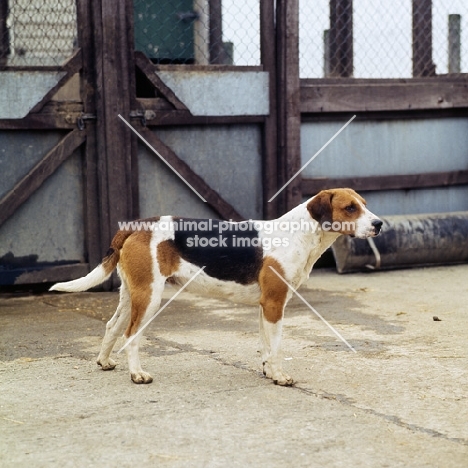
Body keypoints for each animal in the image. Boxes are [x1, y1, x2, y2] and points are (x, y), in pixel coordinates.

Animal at [49, 188, 382, 386]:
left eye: (365, 205)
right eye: (350, 208)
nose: (379, 224)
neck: (299, 233)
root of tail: (135, 226)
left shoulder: (265, 307)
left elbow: (265, 346)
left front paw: (267, 371)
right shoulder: (275, 304)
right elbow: (275, 348)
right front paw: (279, 376)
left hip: (132, 296)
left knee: (112, 326)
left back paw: (105, 361)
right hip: (149, 297)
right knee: (131, 335)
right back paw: (137, 374)